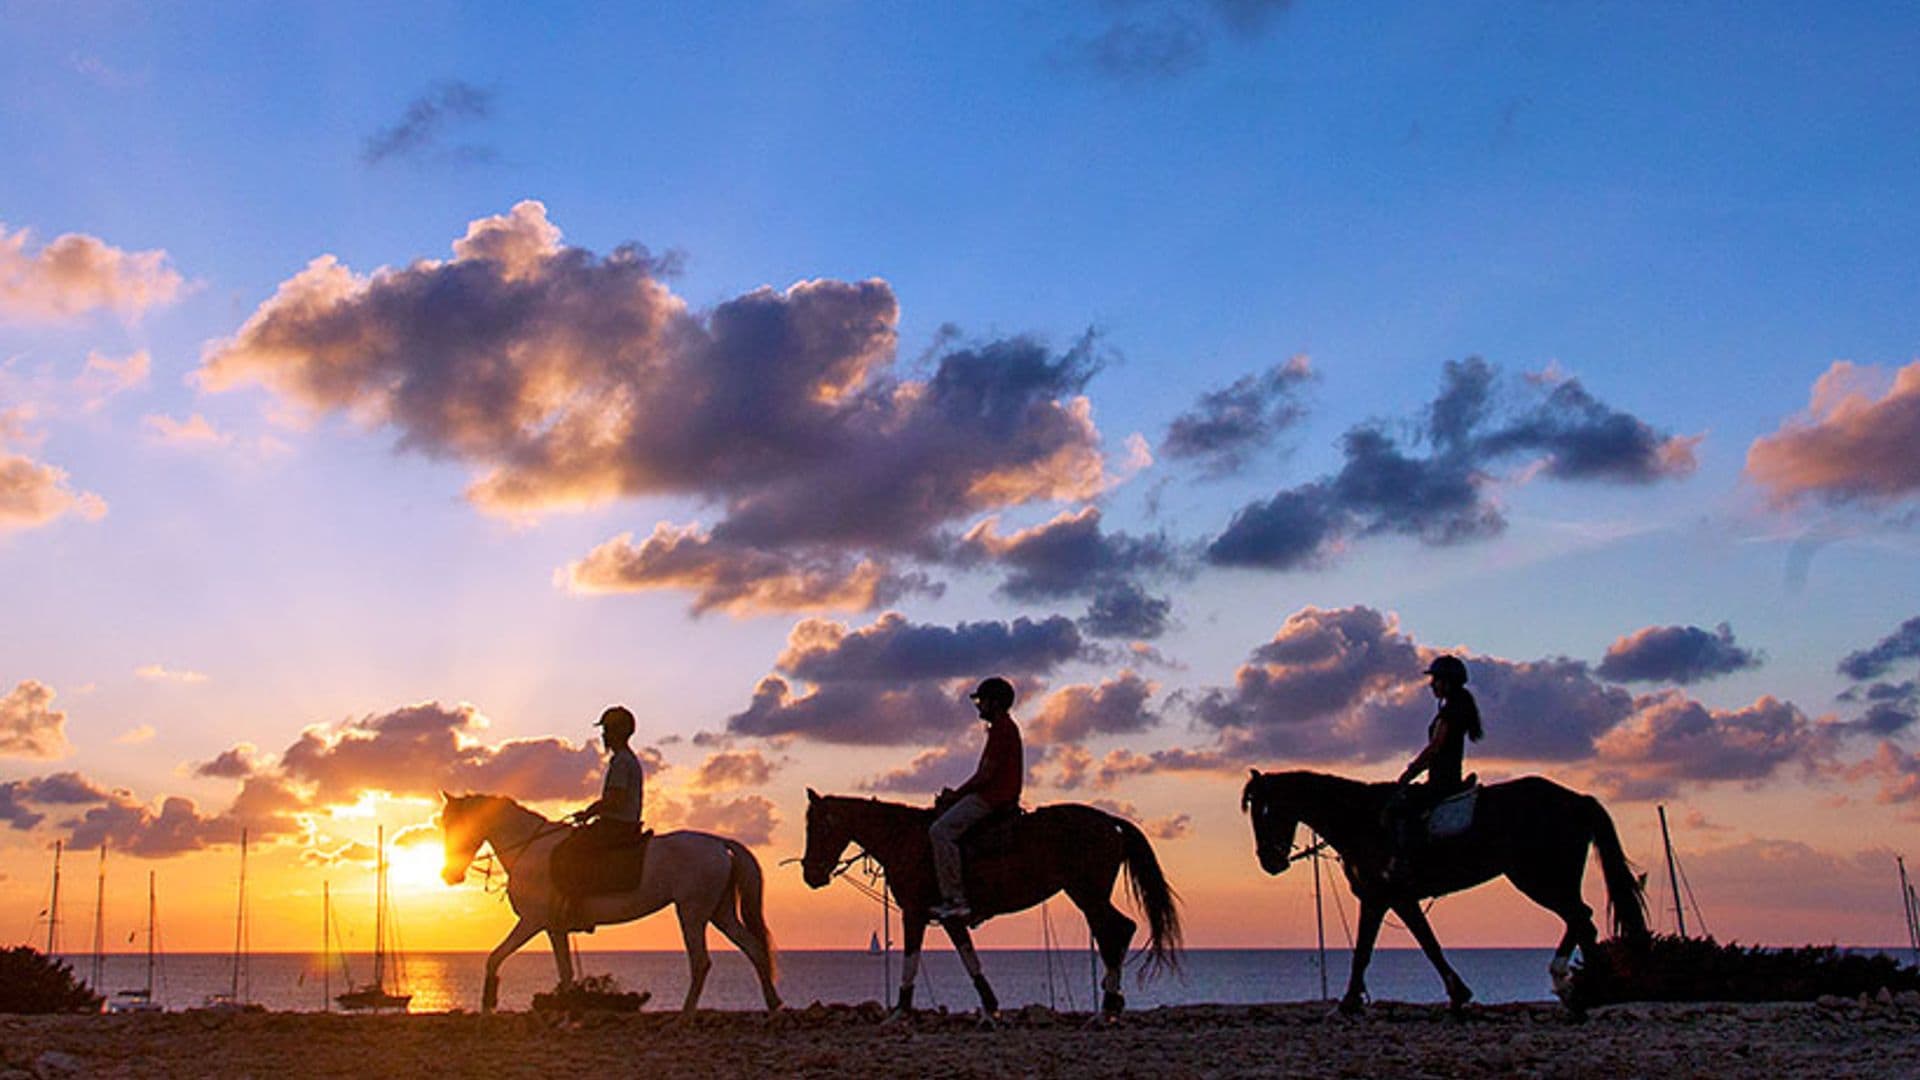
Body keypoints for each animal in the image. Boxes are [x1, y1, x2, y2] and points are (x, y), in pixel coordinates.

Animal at [439, 791, 779, 1006]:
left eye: (457, 824)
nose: (449, 875)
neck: (530, 849)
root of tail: (718, 843)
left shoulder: (532, 922)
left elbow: (495, 957)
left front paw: (488, 1003)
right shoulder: (554, 928)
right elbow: (565, 972)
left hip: (692, 913)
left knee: (701, 962)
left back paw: (685, 1014)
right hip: (719, 912)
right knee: (753, 948)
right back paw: (773, 1004)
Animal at [798, 787, 1182, 1014]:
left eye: (816, 827)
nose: (810, 875)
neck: (904, 838)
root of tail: (1108, 821)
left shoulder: (914, 912)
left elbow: (911, 956)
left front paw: (901, 1011)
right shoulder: (947, 916)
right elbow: (969, 957)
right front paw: (990, 1005)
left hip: (1087, 892)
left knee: (1115, 931)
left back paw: (1109, 1003)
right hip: (1089, 894)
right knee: (1117, 930)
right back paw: (1111, 998)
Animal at [1244, 764, 1651, 1006]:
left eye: (1266, 812)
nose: (1269, 862)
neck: (1361, 819)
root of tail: (1576, 799)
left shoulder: (1386, 896)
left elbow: (1395, 948)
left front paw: (1348, 1005)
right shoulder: (1388, 898)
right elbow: (1401, 945)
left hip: (1538, 877)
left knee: (1580, 918)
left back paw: (1587, 986)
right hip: (1549, 878)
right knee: (1580, 919)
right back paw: (1582, 986)